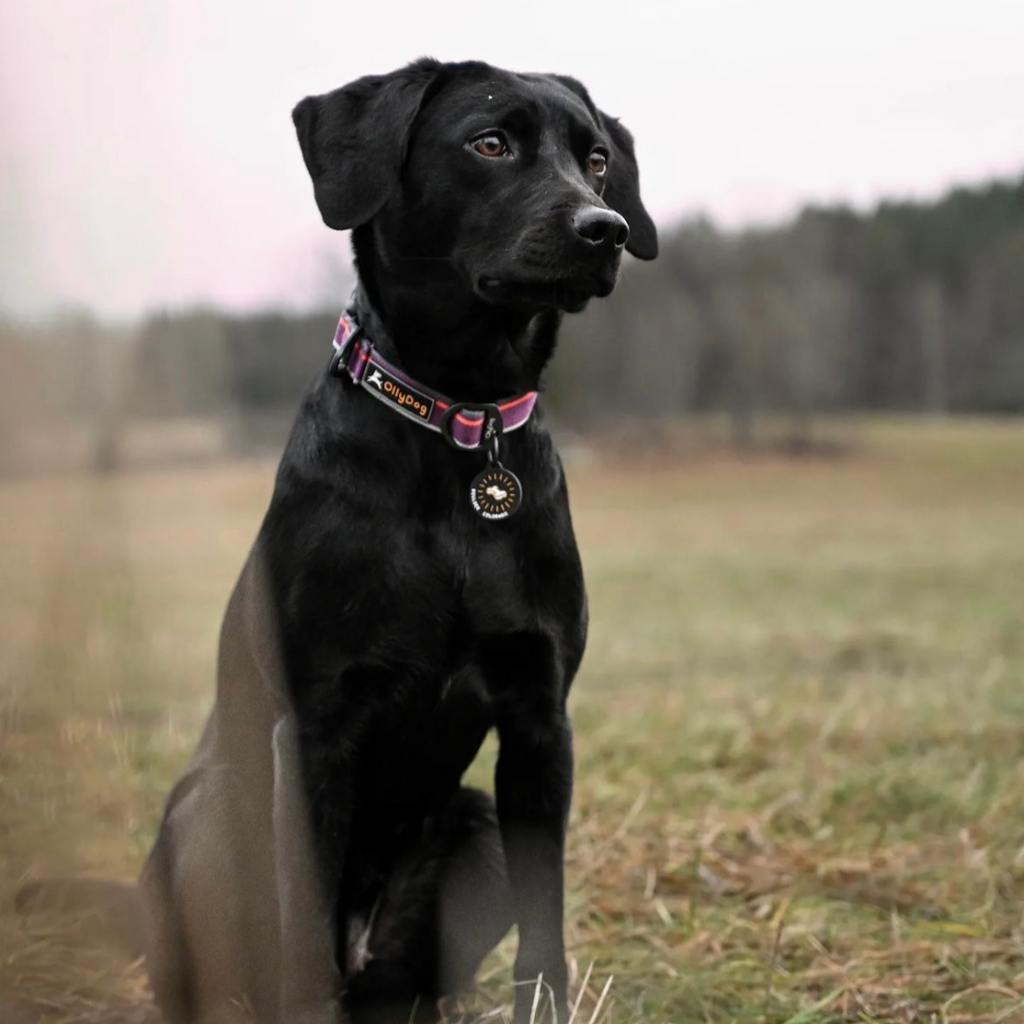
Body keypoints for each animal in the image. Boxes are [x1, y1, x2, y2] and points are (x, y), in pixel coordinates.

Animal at [136, 59, 655, 1024]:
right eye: (490, 143)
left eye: (597, 159)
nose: (601, 230)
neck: (459, 420)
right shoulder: (318, 729)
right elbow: (300, 935)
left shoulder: (539, 719)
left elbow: (544, 928)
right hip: (209, 813)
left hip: (473, 828)